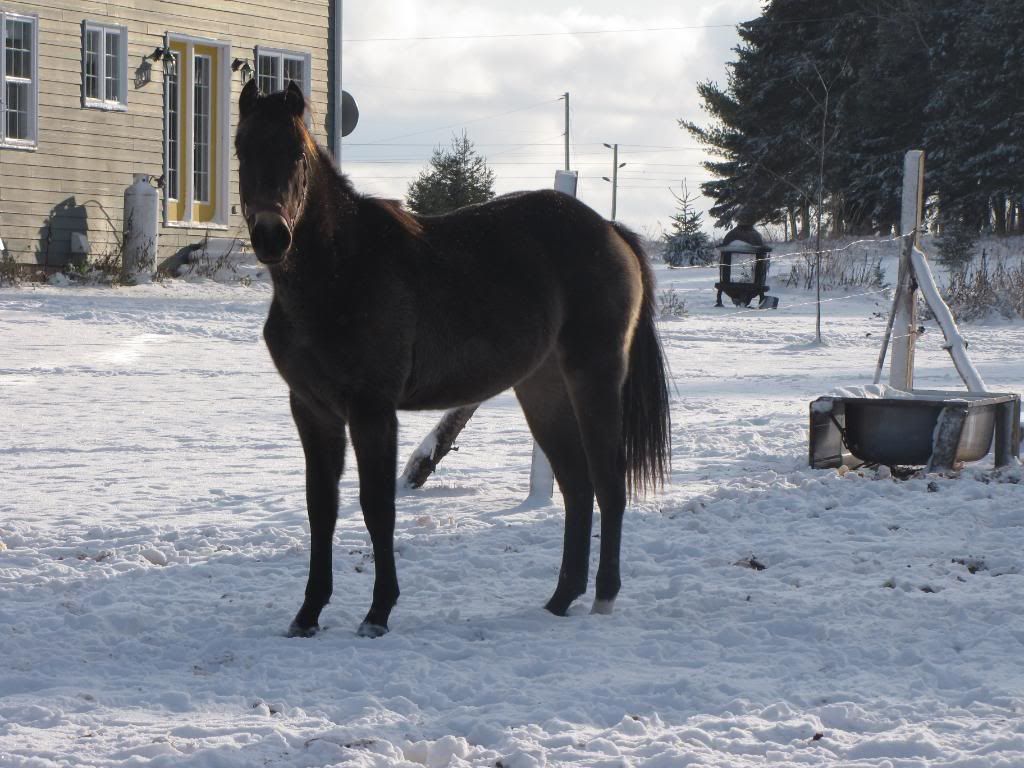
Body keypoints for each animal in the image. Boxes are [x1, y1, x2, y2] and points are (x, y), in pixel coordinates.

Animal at [235, 81, 675, 638]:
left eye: (295, 154)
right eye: (242, 150)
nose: (272, 236)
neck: (341, 271)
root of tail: (610, 230)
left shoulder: (372, 411)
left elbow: (377, 508)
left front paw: (378, 613)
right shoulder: (312, 411)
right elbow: (322, 508)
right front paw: (309, 613)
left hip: (593, 376)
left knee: (608, 484)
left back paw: (603, 598)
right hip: (542, 391)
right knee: (577, 487)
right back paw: (560, 599)